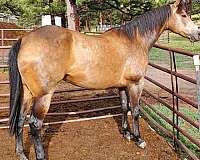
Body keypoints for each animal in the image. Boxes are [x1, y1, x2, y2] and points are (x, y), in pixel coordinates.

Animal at [7, 0, 200, 159]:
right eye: (184, 15)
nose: (197, 33)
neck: (134, 40)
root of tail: (25, 39)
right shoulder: (136, 84)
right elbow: (135, 111)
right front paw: (139, 139)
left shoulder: (122, 86)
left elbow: (124, 107)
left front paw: (126, 134)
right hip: (44, 95)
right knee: (34, 124)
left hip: (28, 93)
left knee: (21, 119)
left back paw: (21, 153)